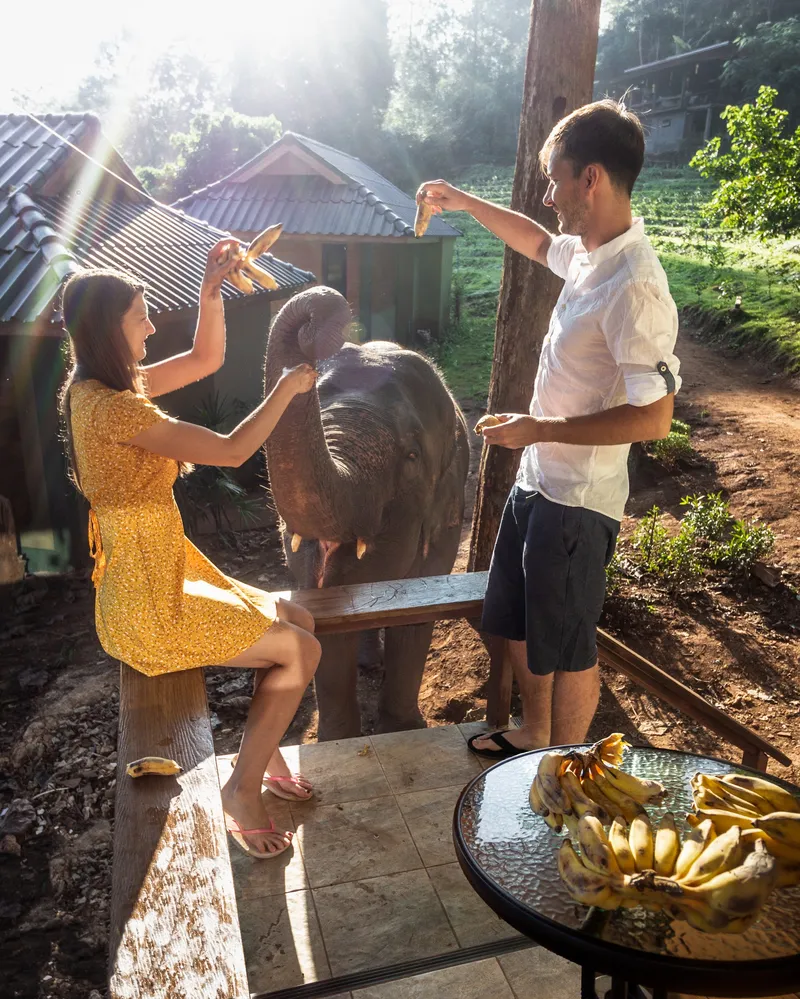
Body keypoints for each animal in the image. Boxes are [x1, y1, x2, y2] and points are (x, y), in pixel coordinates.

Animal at [266, 286, 472, 740]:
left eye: (411, 456)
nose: (317, 312)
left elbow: (416, 617)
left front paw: (403, 728)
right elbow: (324, 616)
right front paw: (337, 739)